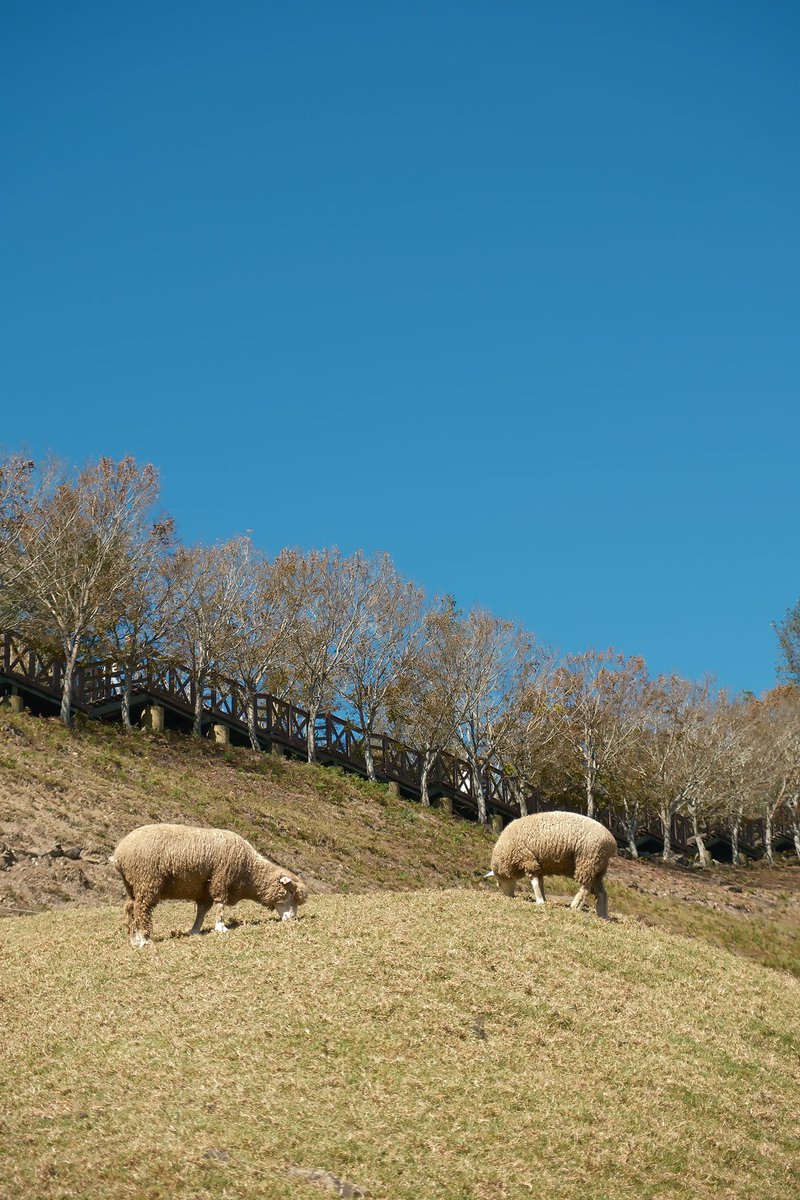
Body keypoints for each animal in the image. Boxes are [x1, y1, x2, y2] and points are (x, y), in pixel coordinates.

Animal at [112, 825, 309, 945]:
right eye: (291, 893)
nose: (292, 919)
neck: (249, 871)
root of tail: (119, 854)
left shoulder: (204, 890)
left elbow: (202, 910)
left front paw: (195, 930)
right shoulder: (221, 878)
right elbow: (220, 904)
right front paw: (221, 927)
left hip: (133, 885)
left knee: (130, 908)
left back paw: (134, 939)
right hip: (147, 880)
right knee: (142, 909)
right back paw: (145, 939)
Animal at [489, 811, 618, 921]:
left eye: (499, 883)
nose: (509, 897)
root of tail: (612, 843)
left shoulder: (528, 860)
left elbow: (534, 882)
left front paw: (540, 901)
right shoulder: (538, 866)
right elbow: (540, 883)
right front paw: (543, 899)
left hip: (587, 861)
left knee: (585, 888)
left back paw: (575, 905)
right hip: (598, 868)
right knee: (602, 893)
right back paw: (603, 915)